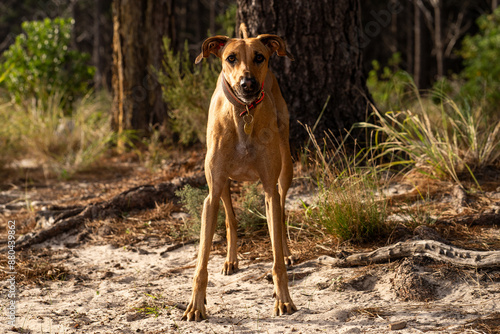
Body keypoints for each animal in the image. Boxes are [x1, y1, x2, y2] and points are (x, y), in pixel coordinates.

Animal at [182, 26, 294, 320]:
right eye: (231, 58)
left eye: (259, 57)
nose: (248, 84)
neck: (243, 115)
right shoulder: (211, 194)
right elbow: (201, 261)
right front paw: (195, 305)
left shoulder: (269, 188)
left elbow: (277, 260)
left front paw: (284, 299)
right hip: (221, 184)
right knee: (231, 219)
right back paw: (231, 259)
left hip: (286, 168)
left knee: (281, 212)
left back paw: (286, 251)